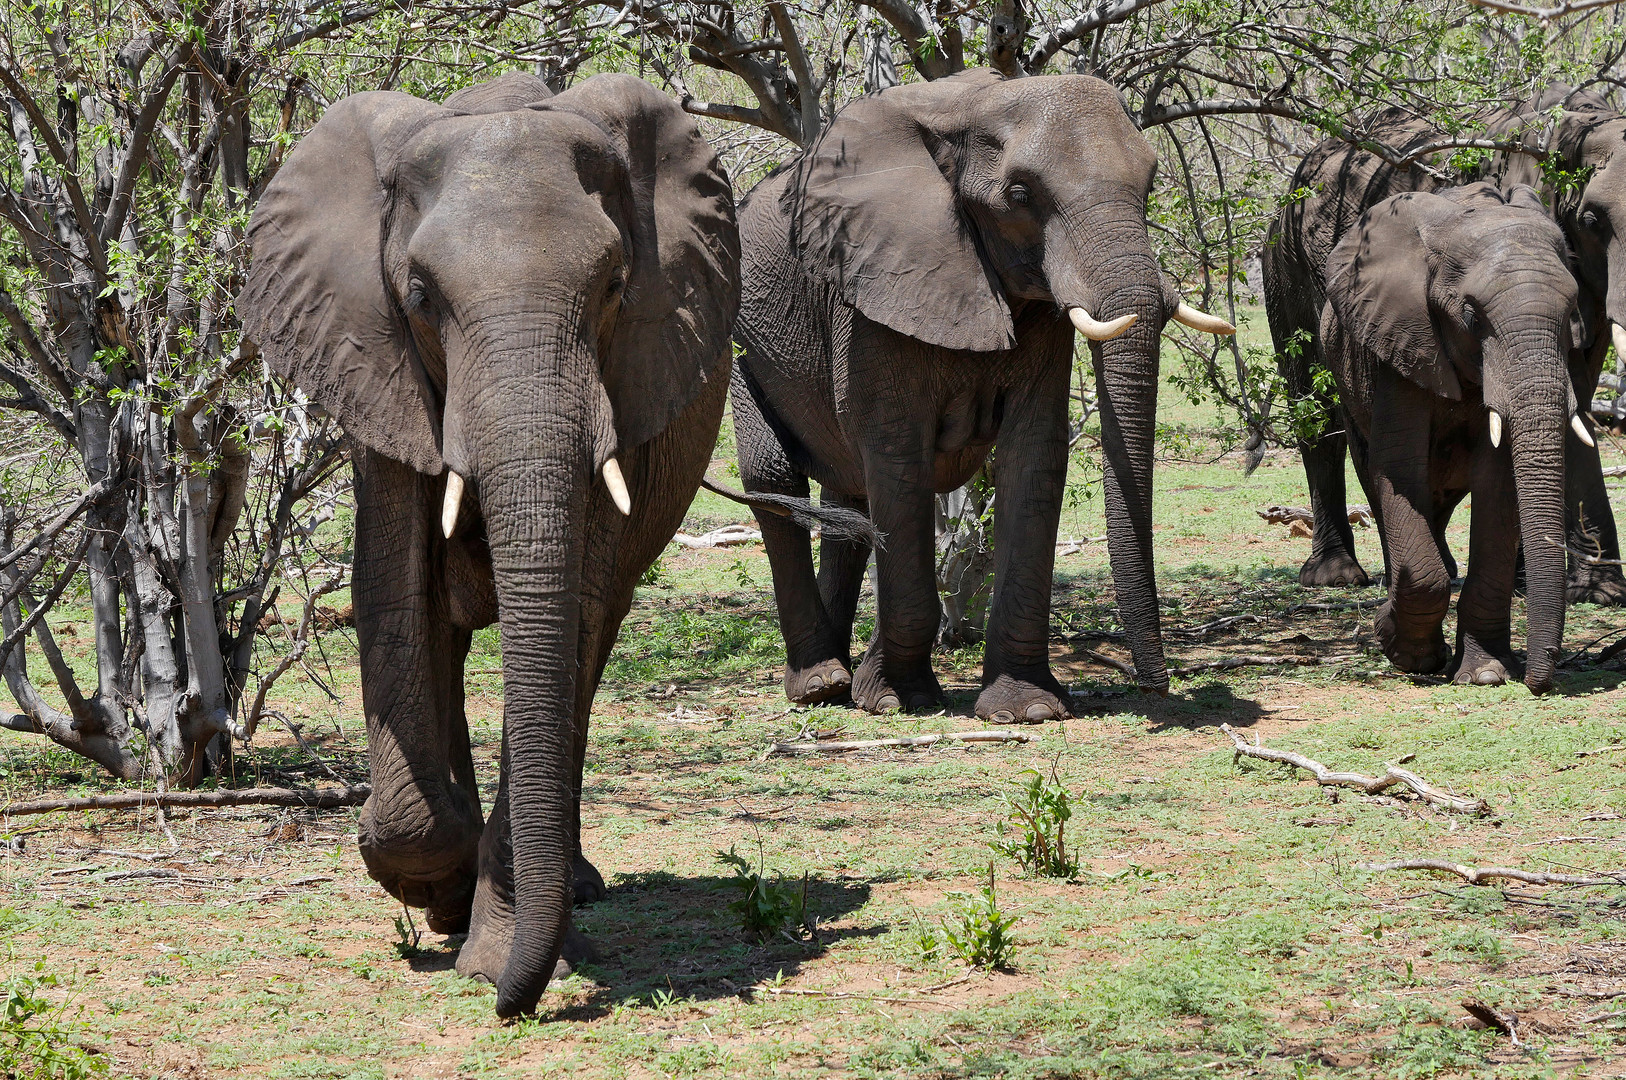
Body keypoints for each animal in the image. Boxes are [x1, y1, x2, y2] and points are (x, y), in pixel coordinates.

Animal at [237, 71, 744, 1014]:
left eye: (615, 285)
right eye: (421, 298)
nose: (514, 1005)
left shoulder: (627, 382)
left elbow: (573, 609)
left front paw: (492, 953)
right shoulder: (380, 369)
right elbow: (394, 591)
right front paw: (439, 895)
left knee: (589, 645)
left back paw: (567, 889)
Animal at [731, 67, 1222, 712]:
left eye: (1150, 182)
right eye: (1018, 196)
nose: (1154, 686)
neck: (977, 107)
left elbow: (1034, 453)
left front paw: (1026, 708)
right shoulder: (872, 295)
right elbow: (897, 461)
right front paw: (899, 700)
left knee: (849, 499)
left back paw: (842, 679)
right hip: (740, 344)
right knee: (774, 477)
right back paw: (820, 683)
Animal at [1313, 184, 1580, 692]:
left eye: (1573, 313)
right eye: (1473, 317)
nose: (1540, 683)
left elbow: (1500, 481)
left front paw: (1486, 674)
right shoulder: (1400, 340)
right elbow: (1398, 466)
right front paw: (1403, 649)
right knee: (1379, 483)